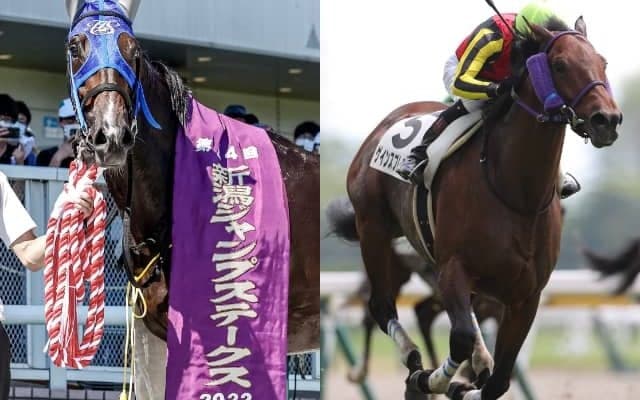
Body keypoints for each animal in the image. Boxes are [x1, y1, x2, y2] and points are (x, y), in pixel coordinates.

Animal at [326, 17, 621, 399]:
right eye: (559, 65)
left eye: (603, 63)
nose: (607, 120)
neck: (517, 193)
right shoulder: (453, 269)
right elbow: (462, 338)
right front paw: (432, 381)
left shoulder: (526, 296)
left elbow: (499, 379)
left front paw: (471, 379)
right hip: (374, 230)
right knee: (380, 305)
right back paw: (410, 363)